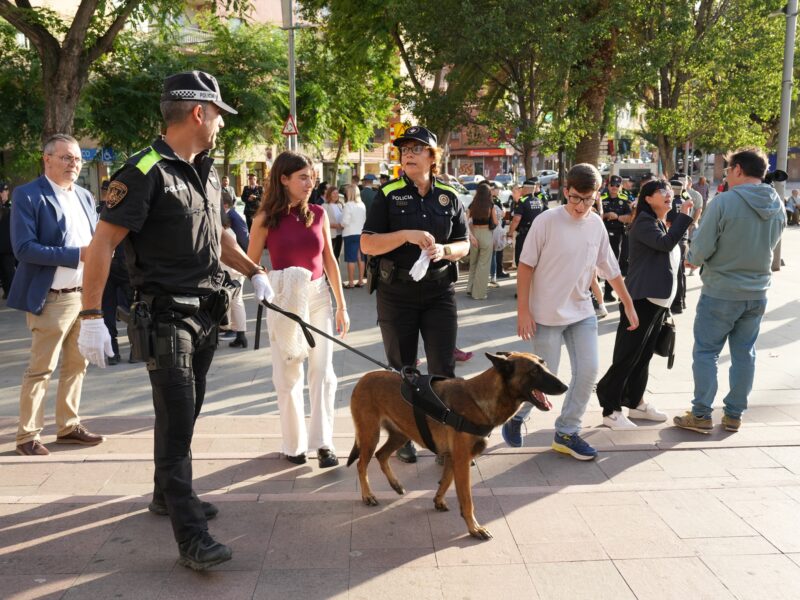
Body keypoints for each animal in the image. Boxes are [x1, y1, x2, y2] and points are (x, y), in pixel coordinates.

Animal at [348, 350, 568, 540]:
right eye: (534, 371)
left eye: (544, 365)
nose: (565, 386)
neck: (480, 399)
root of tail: (363, 378)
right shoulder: (462, 461)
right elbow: (467, 499)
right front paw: (474, 528)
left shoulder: (452, 458)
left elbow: (445, 482)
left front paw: (438, 500)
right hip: (370, 435)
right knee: (361, 464)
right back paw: (367, 495)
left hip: (400, 434)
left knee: (381, 455)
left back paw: (395, 484)